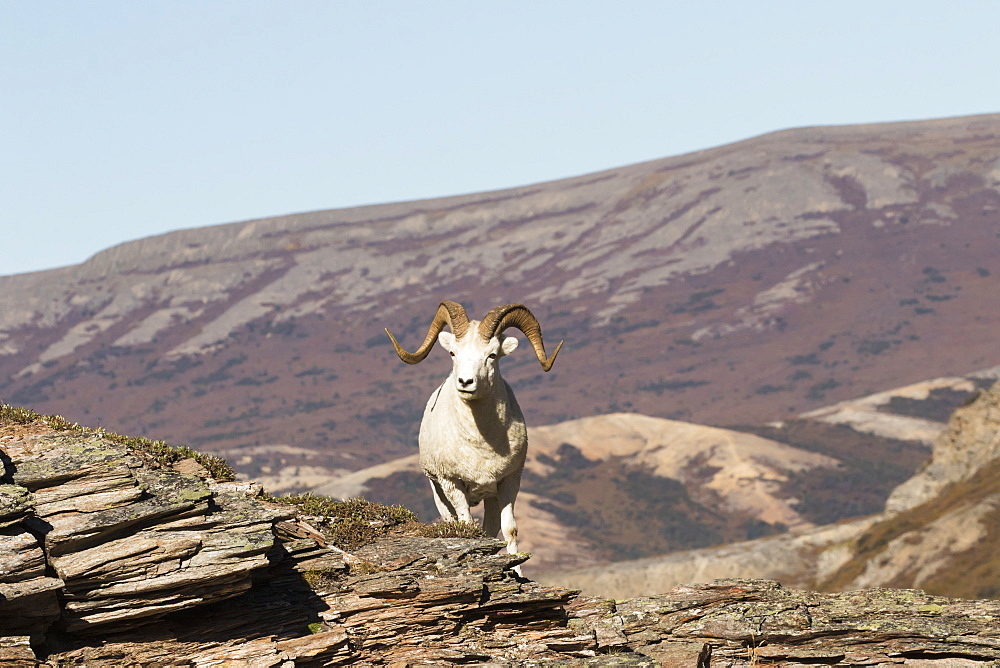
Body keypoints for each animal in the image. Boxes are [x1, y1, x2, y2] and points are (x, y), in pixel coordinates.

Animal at [386, 302, 564, 568]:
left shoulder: (508, 481)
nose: (465, 382)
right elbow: (466, 525)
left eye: (492, 355)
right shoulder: (451, 483)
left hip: (490, 497)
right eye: (453, 353)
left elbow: (509, 530)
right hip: (439, 493)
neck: (480, 446)